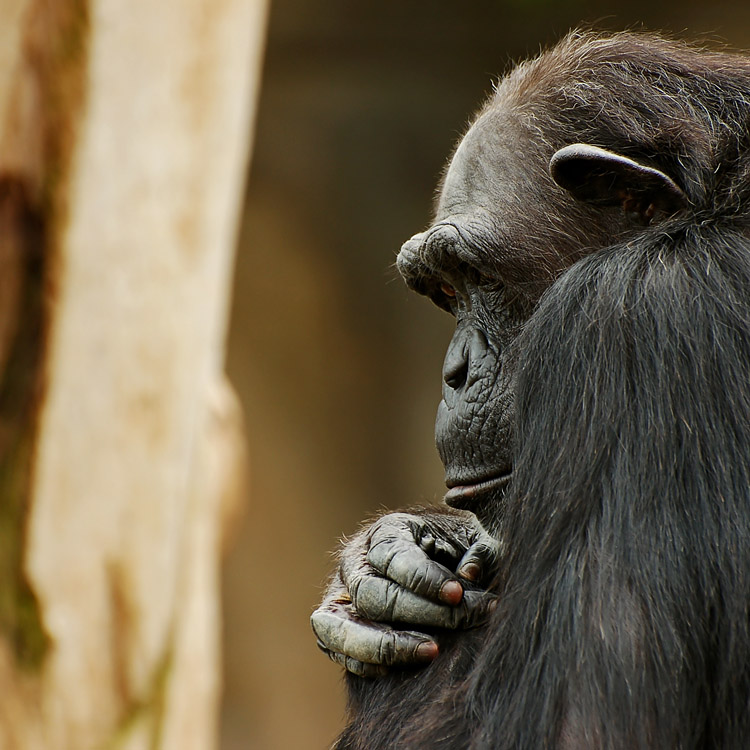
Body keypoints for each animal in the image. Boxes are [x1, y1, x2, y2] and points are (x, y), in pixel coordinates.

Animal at [312, 30, 750, 750]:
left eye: (477, 277)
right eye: (444, 291)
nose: (454, 372)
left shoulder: (625, 325)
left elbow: (582, 724)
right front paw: (390, 559)